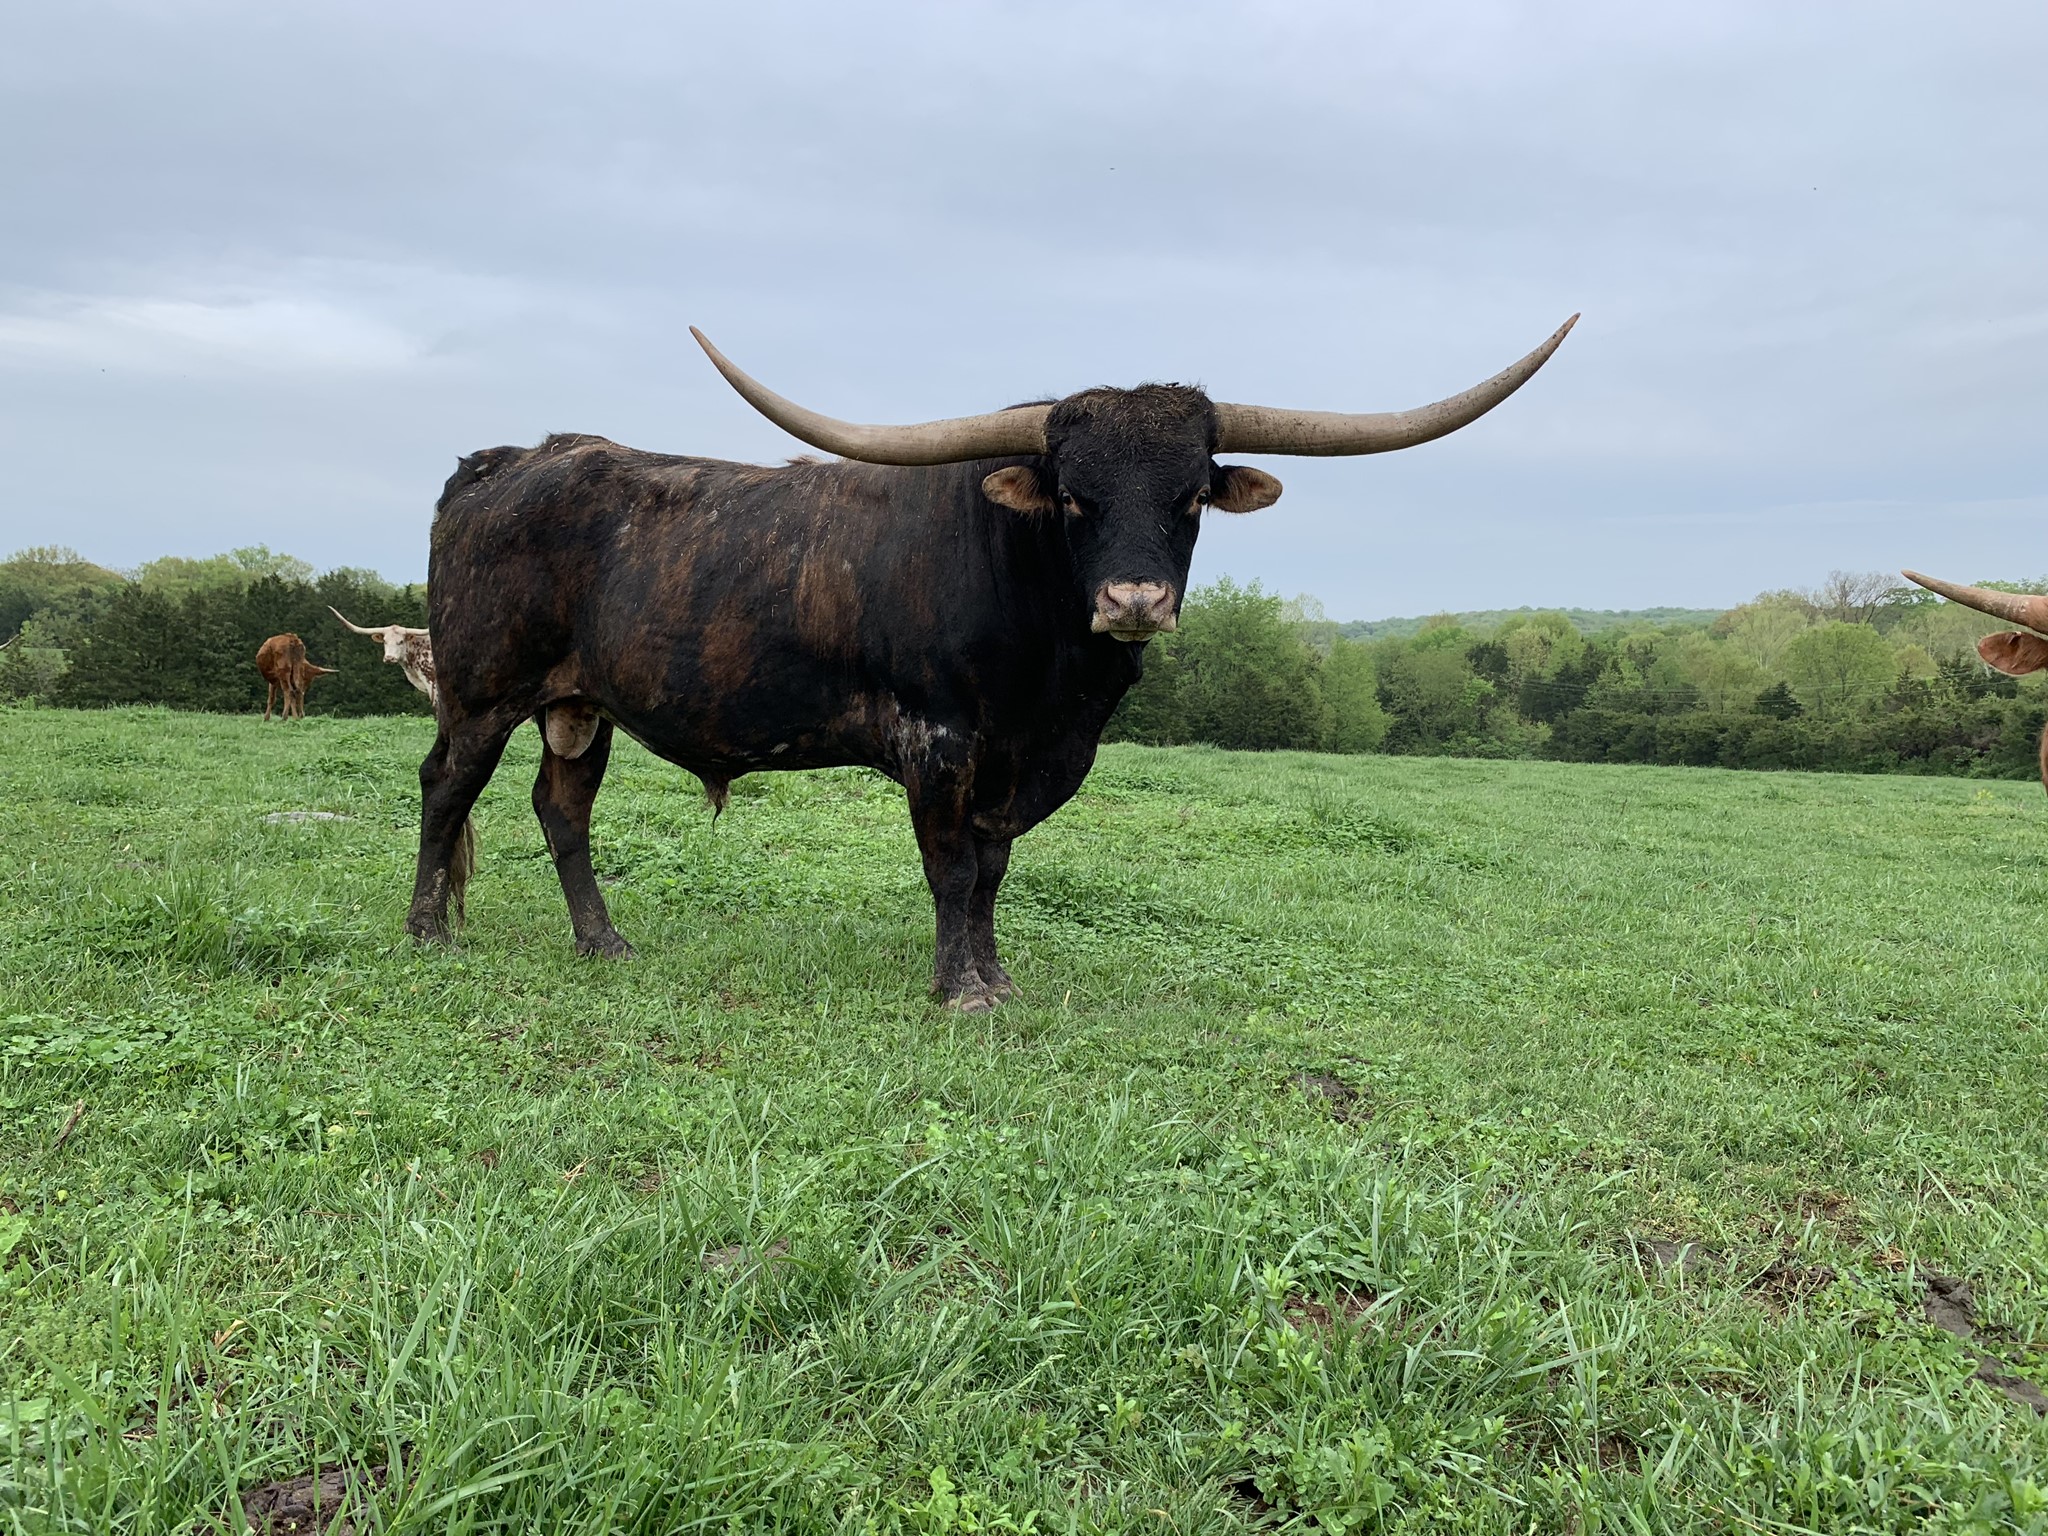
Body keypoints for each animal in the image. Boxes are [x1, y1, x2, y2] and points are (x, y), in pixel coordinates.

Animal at [409, 318, 1577, 1008]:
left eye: (1190, 494)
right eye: (1073, 494)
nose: (1135, 600)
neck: (1055, 690)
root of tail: (512, 460)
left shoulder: (1026, 760)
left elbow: (995, 871)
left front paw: (997, 974)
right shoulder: (939, 741)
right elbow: (951, 868)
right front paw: (958, 991)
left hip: (579, 703)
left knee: (561, 808)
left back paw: (601, 944)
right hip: (480, 688)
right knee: (446, 786)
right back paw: (428, 935)